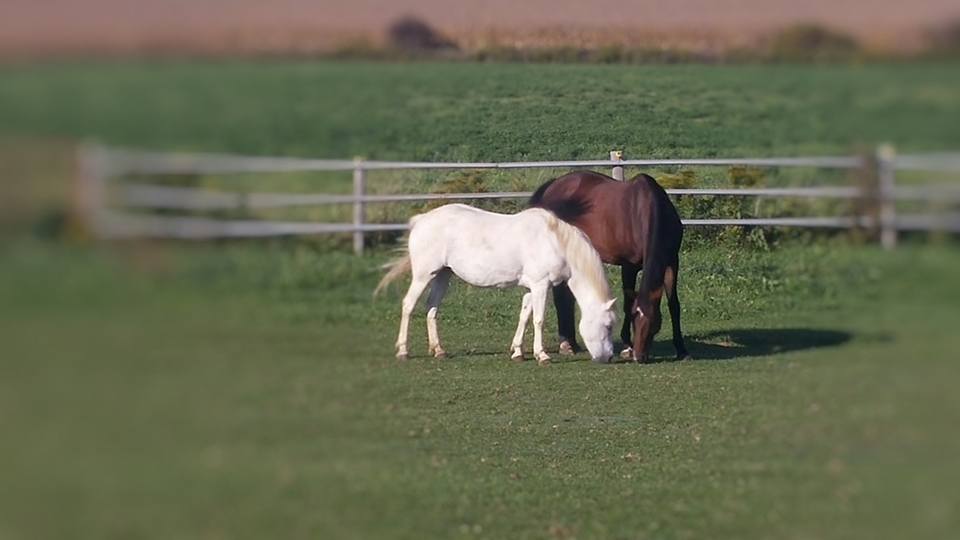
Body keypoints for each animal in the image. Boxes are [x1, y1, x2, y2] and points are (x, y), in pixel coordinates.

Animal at [376, 205, 616, 364]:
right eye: (608, 326)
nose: (609, 357)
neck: (554, 241)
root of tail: (421, 220)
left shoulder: (531, 287)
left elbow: (524, 316)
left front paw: (518, 352)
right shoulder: (541, 285)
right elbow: (538, 320)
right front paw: (541, 355)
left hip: (443, 275)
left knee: (431, 308)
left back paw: (438, 350)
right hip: (424, 275)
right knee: (408, 305)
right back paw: (403, 351)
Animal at [532, 170, 688, 362]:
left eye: (655, 323)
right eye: (635, 318)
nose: (639, 357)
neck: (645, 210)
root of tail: (552, 186)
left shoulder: (672, 261)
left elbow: (674, 305)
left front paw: (681, 349)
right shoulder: (629, 266)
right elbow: (627, 302)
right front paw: (627, 347)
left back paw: (572, 343)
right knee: (561, 297)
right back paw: (566, 344)